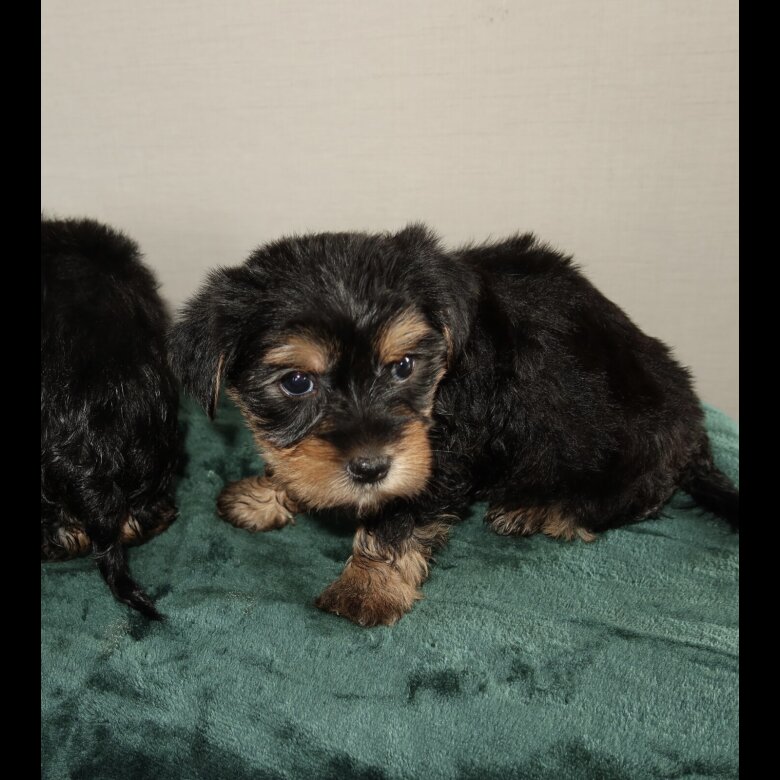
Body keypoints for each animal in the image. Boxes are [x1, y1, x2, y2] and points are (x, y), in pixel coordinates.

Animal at [169, 224, 738, 627]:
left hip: (632, 447)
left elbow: (399, 514)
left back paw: (538, 508)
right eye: (296, 383)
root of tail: (696, 436)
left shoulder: (445, 450)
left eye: (402, 366)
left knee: (622, 498)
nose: (370, 468)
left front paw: (367, 587)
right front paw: (268, 493)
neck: (445, 374)